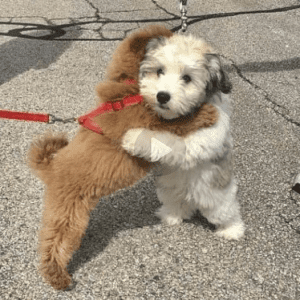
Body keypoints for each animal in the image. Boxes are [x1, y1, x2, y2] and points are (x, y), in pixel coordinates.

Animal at [27, 26, 218, 290]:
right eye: (161, 69)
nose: (162, 95)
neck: (128, 93)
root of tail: (52, 167)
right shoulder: (148, 122)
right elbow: (178, 121)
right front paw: (205, 112)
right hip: (68, 212)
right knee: (55, 242)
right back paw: (57, 276)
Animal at [122, 33, 244, 239]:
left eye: (187, 78)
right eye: (159, 71)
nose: (162, 96)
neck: (183, 116)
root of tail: (191, 197)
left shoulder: (201, 138)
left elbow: (165, 141)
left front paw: (134, 137)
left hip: (216, 196)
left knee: (225, 211)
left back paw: (232, 230)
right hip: (170, 190)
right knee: (177, 204)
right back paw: (171, 215)